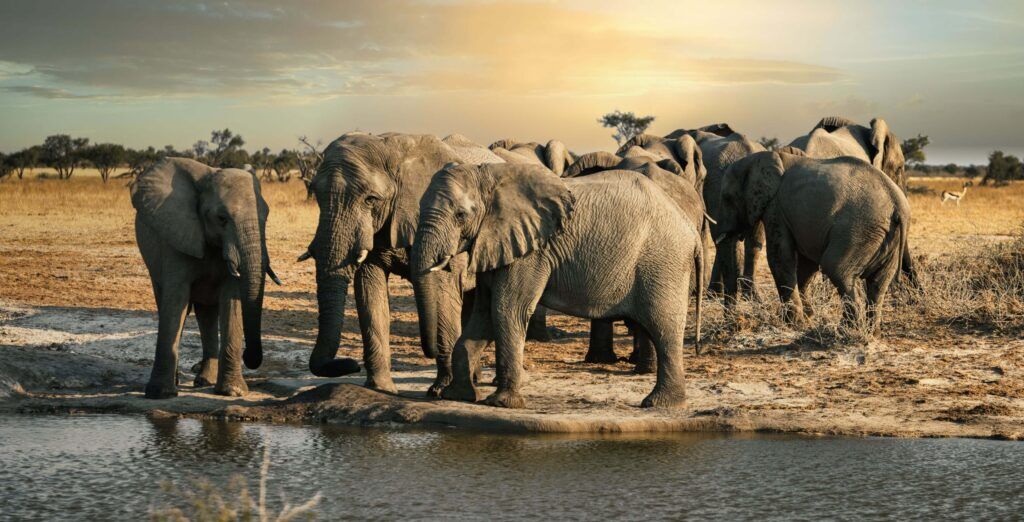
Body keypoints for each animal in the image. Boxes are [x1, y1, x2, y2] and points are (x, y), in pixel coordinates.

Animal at [131, 157, 278, 399]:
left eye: (266, 217)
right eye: (222, 218)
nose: (250, 357)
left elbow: (231, 300)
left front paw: (232, 392)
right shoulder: (176, 236)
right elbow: (176, 301)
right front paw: (160, 394)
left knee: (206, 314)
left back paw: (204, 381)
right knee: (170, 305)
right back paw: (179, 381)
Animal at [303, 132, 510, 396]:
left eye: (371, 199)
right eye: (316, 195)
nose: (350, 365)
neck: (393, 150)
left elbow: (444, 292)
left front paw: (440, 392)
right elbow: (370, 290)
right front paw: (381, 389)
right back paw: (474, 378)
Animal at [715, 150, 911, 333]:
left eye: (727, 198)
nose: (735, 323)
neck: (762, 157)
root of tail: (897, 204)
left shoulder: (776, 207)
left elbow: (779, 257)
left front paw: (793, 324)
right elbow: (805, 265)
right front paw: (808, 318)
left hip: (860, 230)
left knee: (836, 269)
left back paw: (848, 330)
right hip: (888, 238)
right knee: (878, 283)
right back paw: (871, 332)